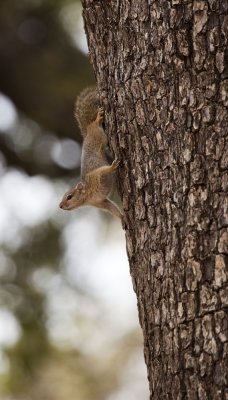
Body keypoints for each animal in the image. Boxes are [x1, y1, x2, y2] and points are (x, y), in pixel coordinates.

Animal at [59, 86, 123, 219]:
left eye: (69, 197)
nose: (60, 206)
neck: (87, 197)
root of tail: (87, 131)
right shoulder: (100, 202)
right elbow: (111, 207)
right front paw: (123, 218)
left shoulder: (95, 177)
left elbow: (104, 170)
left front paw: (113, 166)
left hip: (99, 135)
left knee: (95, 124)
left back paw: (98, 118)